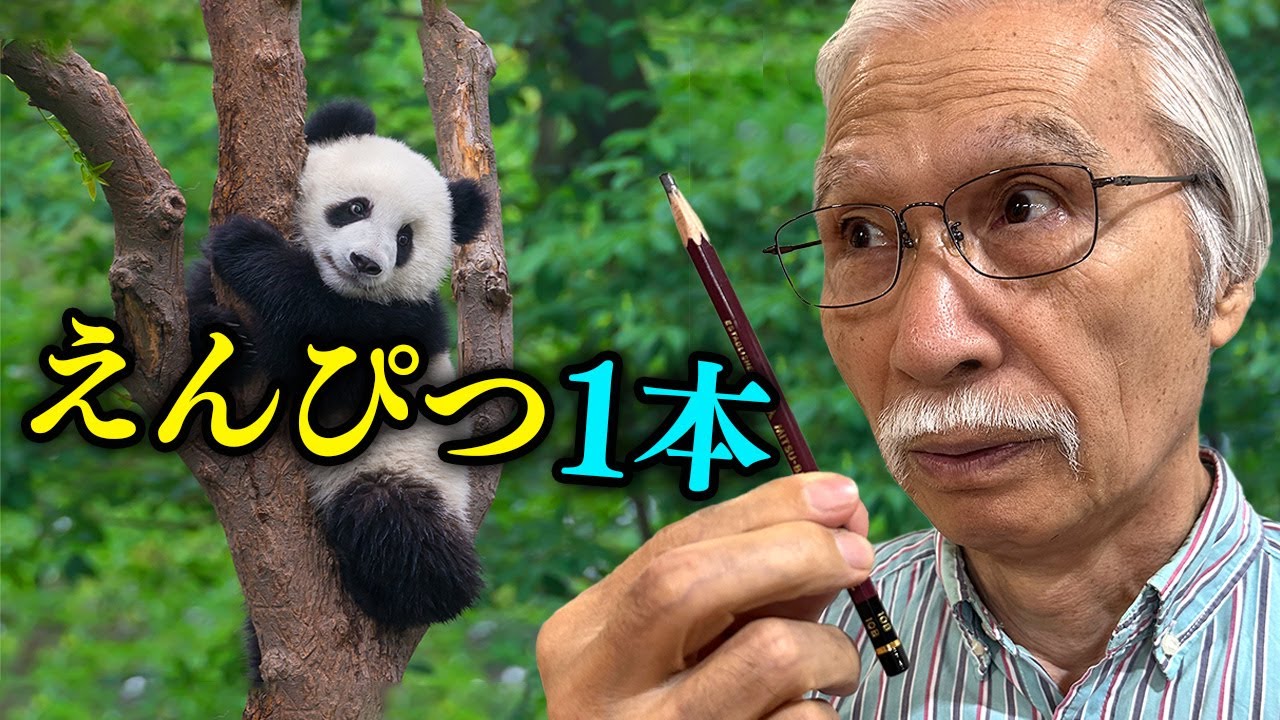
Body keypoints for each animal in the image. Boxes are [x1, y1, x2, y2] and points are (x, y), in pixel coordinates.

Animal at [186, 100, 489, 641]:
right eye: (355, 208)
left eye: (405, 238)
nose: (365, 262)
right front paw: (223, 341)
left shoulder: (407, 326)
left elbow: (324, 334)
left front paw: (248, 247)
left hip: (401, 469)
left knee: (396, 524)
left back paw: (408, 593)